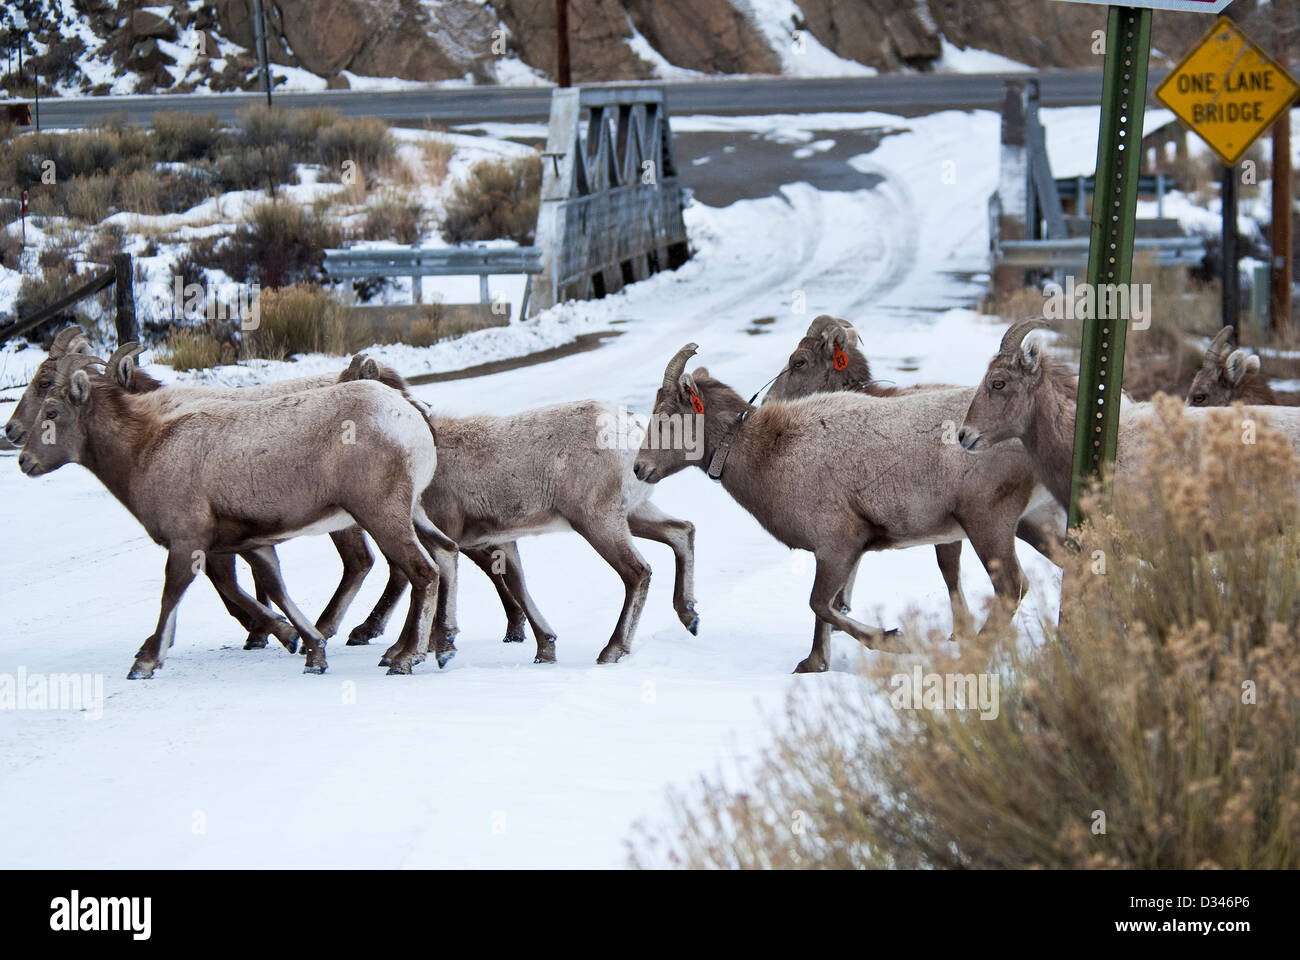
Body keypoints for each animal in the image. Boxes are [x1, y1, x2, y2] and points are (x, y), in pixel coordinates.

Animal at [17, 356, 457, 676]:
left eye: (51, 411)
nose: (23, 459)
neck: (146, 448)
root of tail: (410, 415)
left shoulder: (189, 542)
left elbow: (175, 591)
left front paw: (146, 661)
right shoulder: (254, 544)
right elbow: (274, 589)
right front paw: (310, 651)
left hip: (380, 514)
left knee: (420, 570)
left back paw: (404, 658)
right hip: (412, 512)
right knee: (445, 553)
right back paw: (439, 647)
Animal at [338, 353, 702, 671]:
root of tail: (629, 429)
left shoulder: (446, 534)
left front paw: (403, 653)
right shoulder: (500, 540)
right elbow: (517, 585)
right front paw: (545, 650)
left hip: (598, 521)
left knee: (637, 572)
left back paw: (612, 651)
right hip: (633, 514)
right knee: (681, 530)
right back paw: (690, 617)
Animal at [634, 340, 1040, 671]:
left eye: (667, 417)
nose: (640, 468)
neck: (765, 453)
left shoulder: (839, 544)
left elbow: (820, 604)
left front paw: (893, 640)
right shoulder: (833, 552)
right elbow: (826, 609)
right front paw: (815, 664)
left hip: (988, 524)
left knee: (1013, 585)